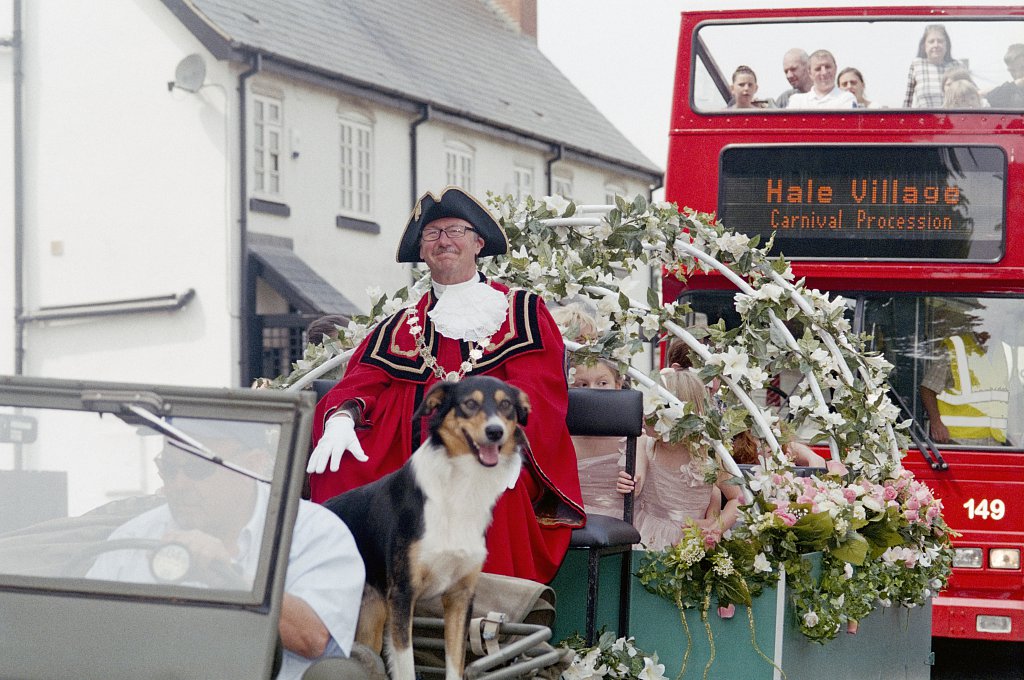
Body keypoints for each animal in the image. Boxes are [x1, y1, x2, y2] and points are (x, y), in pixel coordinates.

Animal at [323, 374, 528, 675]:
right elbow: (406, 666)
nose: (495, 432)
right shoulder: (403, 595)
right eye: (469, 404)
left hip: (370, 616)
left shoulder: (460, 597)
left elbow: (455, 665)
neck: (459, 490)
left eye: (506, 406)